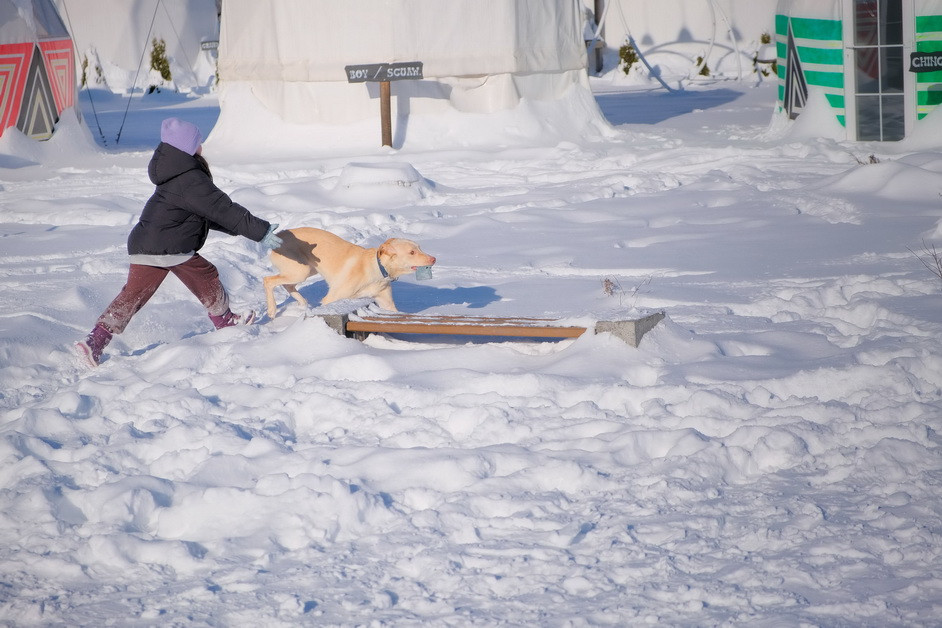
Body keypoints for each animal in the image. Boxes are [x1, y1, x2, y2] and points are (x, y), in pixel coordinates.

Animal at [264, 227, 436, 318]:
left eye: (419, 248)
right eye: (412, 252)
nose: (434, 259)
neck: (377, 268)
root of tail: (280, 234)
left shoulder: (386, 303)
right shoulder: (332, 298)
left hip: (307, 270)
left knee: (288, 286)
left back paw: (302, 303)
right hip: (300, 271)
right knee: (268, 280)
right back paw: (272, 310)